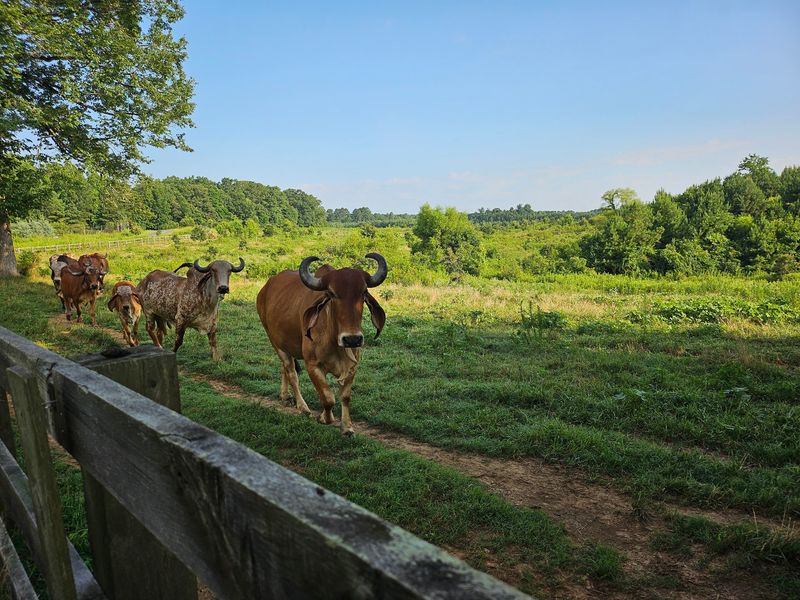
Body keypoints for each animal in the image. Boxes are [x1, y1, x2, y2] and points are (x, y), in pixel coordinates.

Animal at [256, 253, 387, 435]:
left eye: (363, 292)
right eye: (331, 293)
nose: (352, 339)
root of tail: (265, 289)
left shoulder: (352, 366)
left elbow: (345, 397)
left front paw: (347, 427)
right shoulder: (313, 366)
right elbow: (328, 397)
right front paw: (325, 418)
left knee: (284, 368)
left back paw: (285, 396)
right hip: (275, 342)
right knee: (291, 373)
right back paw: (302, 407)